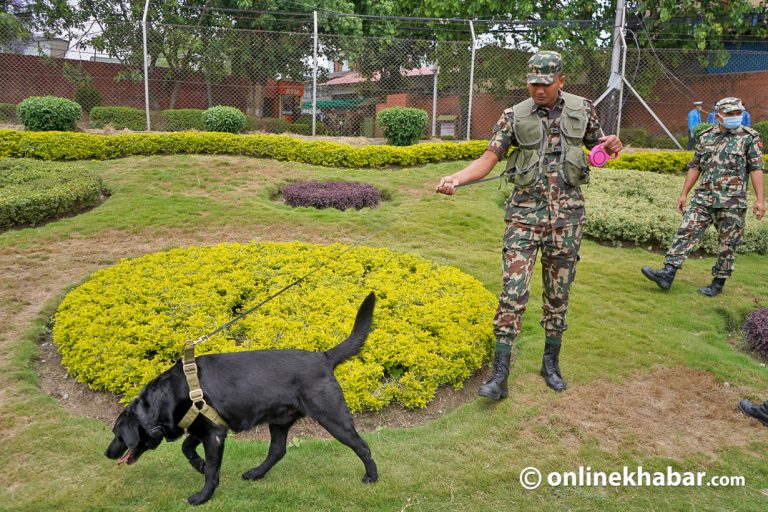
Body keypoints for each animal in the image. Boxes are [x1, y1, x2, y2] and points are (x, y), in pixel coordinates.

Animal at [103, 292, 380, 504]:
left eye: (117, 434)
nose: (107, 453)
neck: (171, 395)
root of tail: (324, 357)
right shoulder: (204, 427)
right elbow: (186, 447)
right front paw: (198, 464)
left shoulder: (214, 435)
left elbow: (212, 471)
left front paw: (202, 496)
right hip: (280, 420)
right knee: (277, 451)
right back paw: (256, 474)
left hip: (332, 416)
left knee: (363, 446)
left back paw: (372, 477)